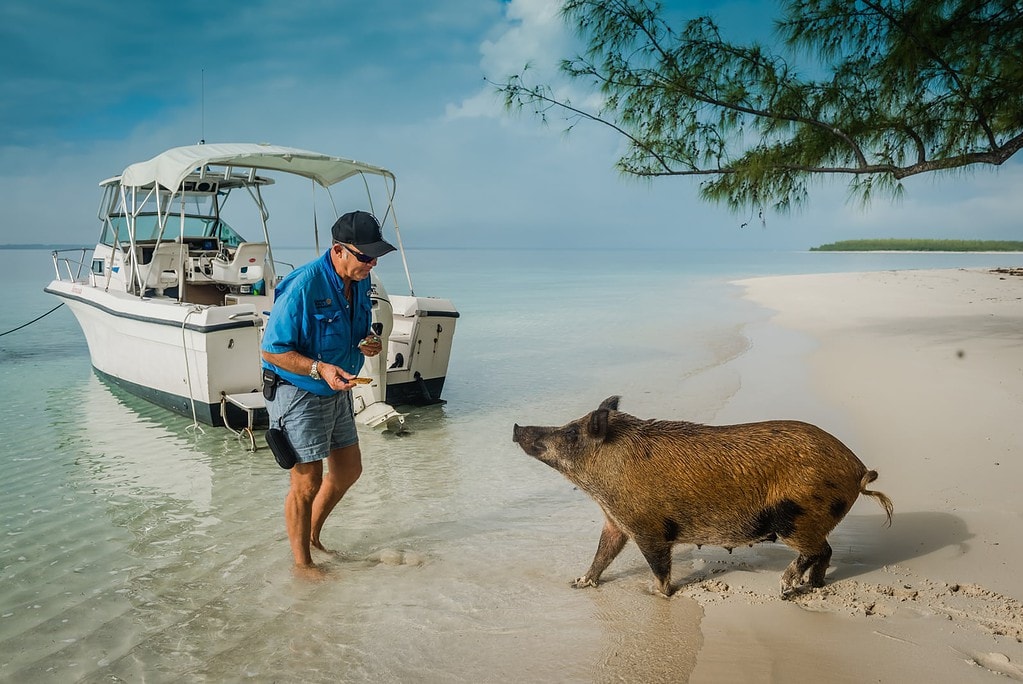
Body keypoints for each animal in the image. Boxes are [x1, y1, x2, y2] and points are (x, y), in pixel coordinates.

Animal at [507, 396, 892, 593]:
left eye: (573, 432)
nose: (516, 426)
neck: (601, 487)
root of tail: (859, 469)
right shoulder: (615, 522)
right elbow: (603, 553)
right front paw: (578, 583)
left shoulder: (649, 527)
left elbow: (659, 566)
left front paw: (656, 594)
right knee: (826, 552)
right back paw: (813, 586)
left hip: (796, 516)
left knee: (818, 550)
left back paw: (785, 588)